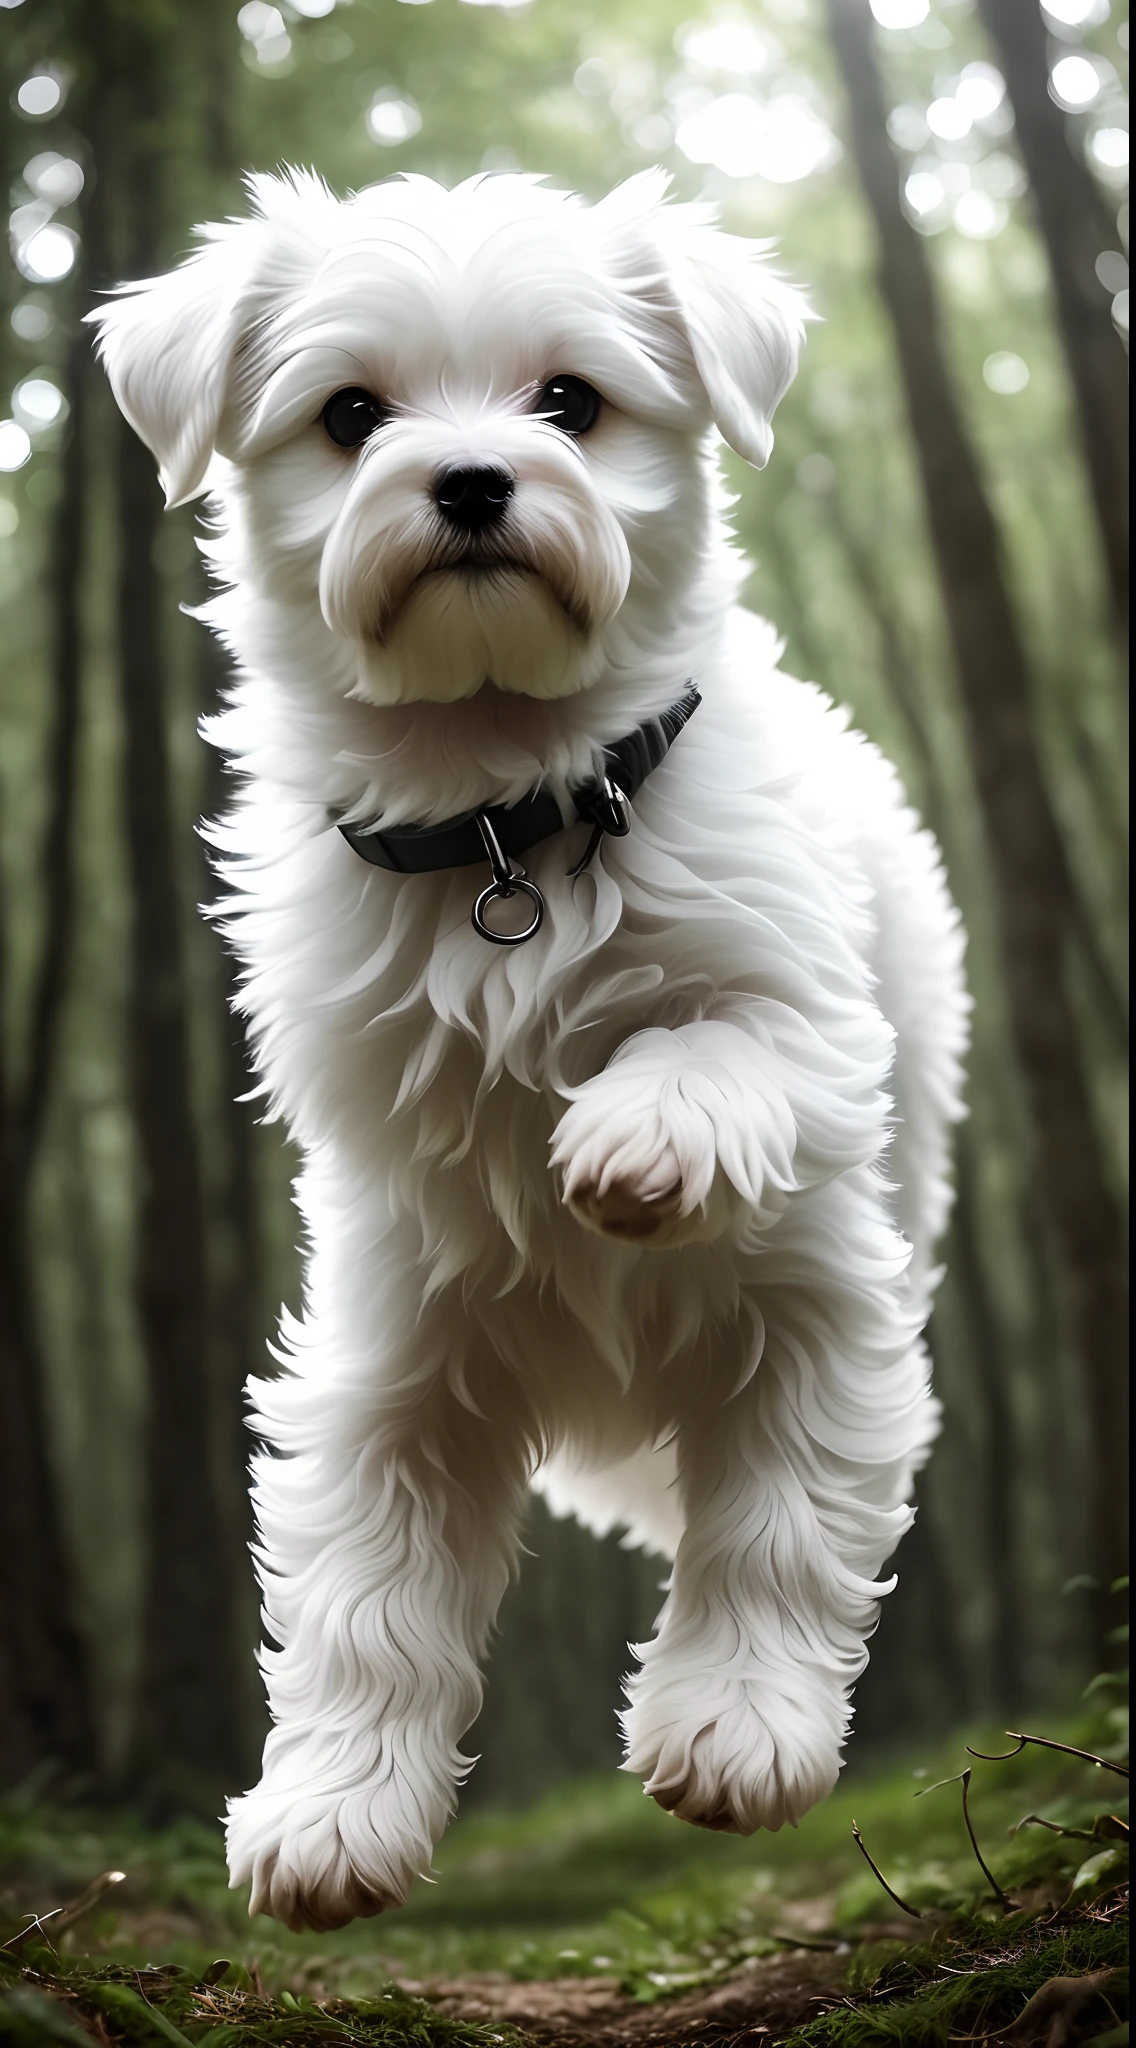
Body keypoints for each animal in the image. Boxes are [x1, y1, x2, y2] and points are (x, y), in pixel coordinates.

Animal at [91, 167, 970, 1925]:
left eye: (571, 400)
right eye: (352, 415)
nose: (475, 478)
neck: (508, 816)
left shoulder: (814, 1254)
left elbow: (777, 1518)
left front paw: (737, 1726)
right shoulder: (398, 1339)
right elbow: (366, 1598)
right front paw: (333, 1814)